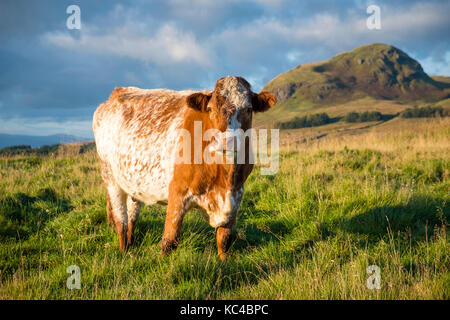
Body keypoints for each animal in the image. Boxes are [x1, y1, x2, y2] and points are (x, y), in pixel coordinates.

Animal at [94, 75, 278, 260]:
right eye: (210, 109)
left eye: (248, 109)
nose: (227, 141)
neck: (224, 178)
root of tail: (117, 92)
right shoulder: (177, 193)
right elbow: (170, 240)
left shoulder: (236, 196)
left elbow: (224, 239)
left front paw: (224, 261)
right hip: (110, 178)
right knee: (121, 220)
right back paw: (123, 251)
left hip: (132, 183)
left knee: (132, 215)